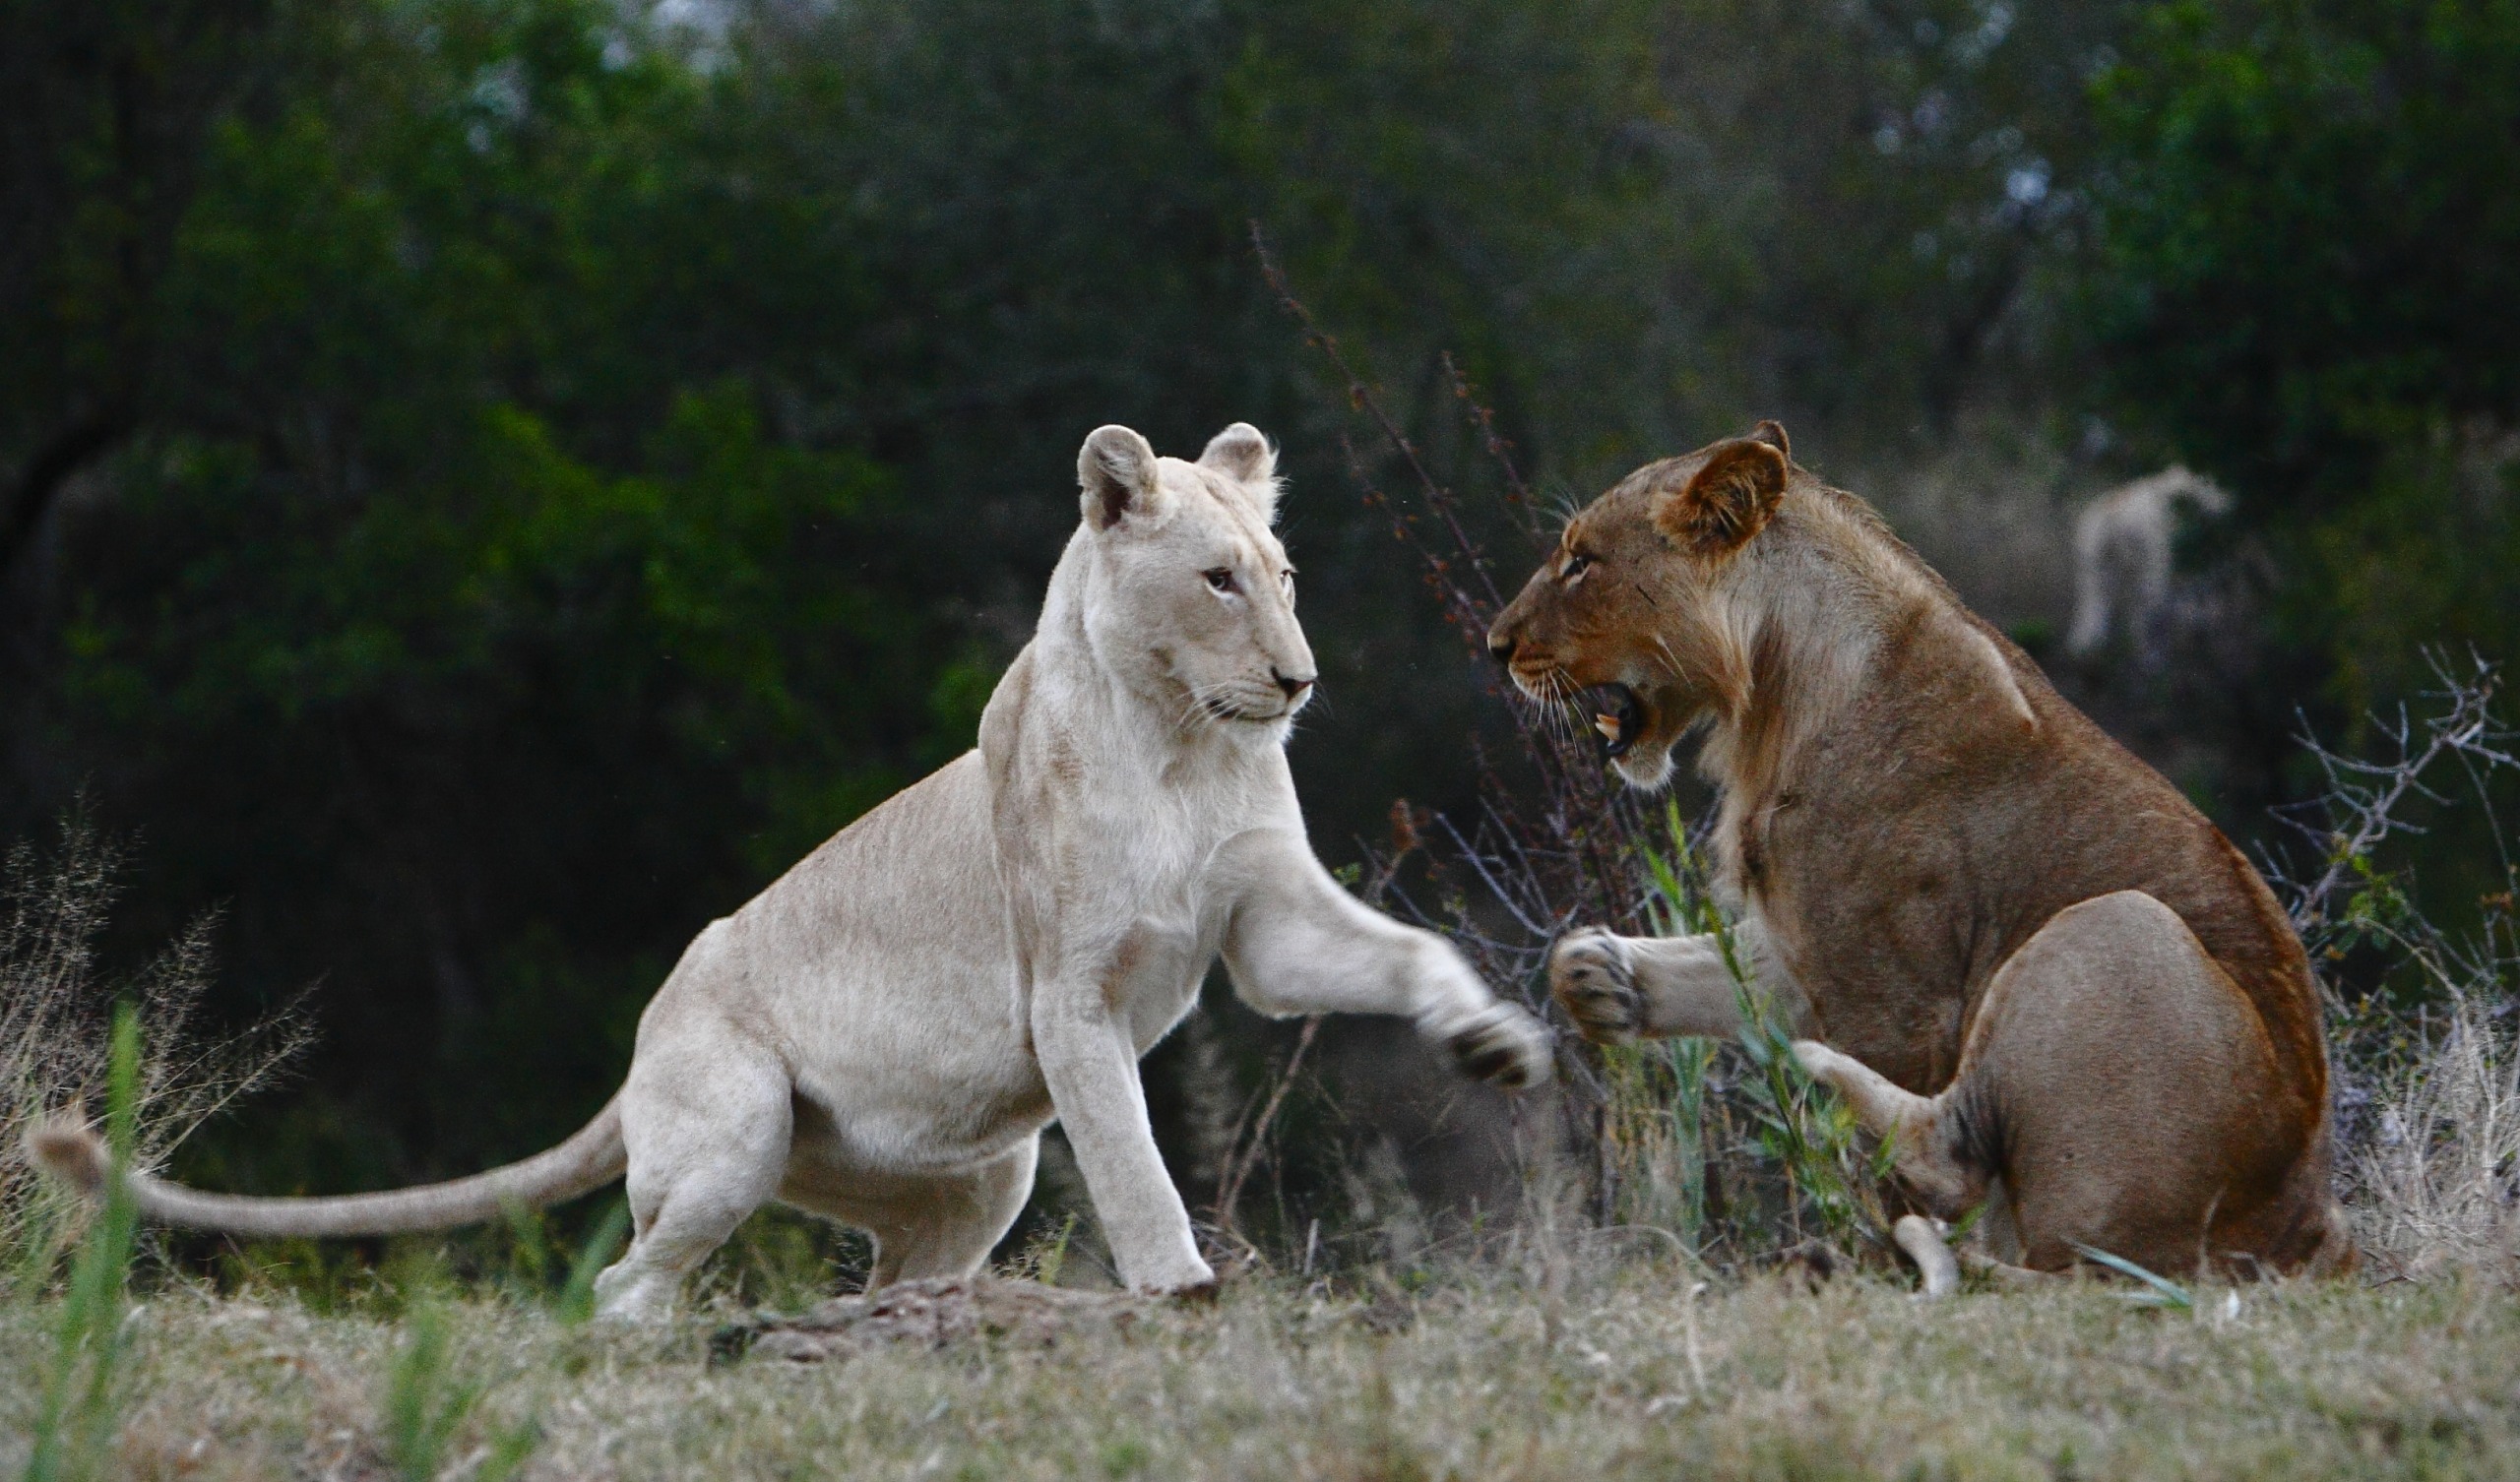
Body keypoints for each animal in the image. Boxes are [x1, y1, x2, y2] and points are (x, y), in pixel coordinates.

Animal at [2066, 468, 2228, 665]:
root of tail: (2111, 517)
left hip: (2092, 567)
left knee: (2092, 615)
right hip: (2148, 564)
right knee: (2143, 613)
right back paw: (2151, 657)